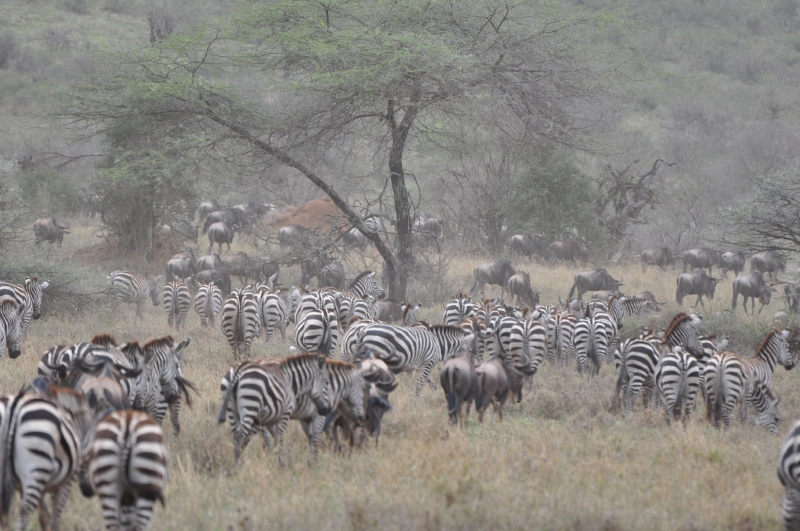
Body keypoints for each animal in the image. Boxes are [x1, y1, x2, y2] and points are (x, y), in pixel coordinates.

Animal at [0, 385, 97, 531]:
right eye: (93, 451)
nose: (89, 492)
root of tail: (15, 405)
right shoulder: (66, 482)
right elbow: (55, 517)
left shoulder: (35, 487)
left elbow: (44, 516)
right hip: (36, 469)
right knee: (24, 513)